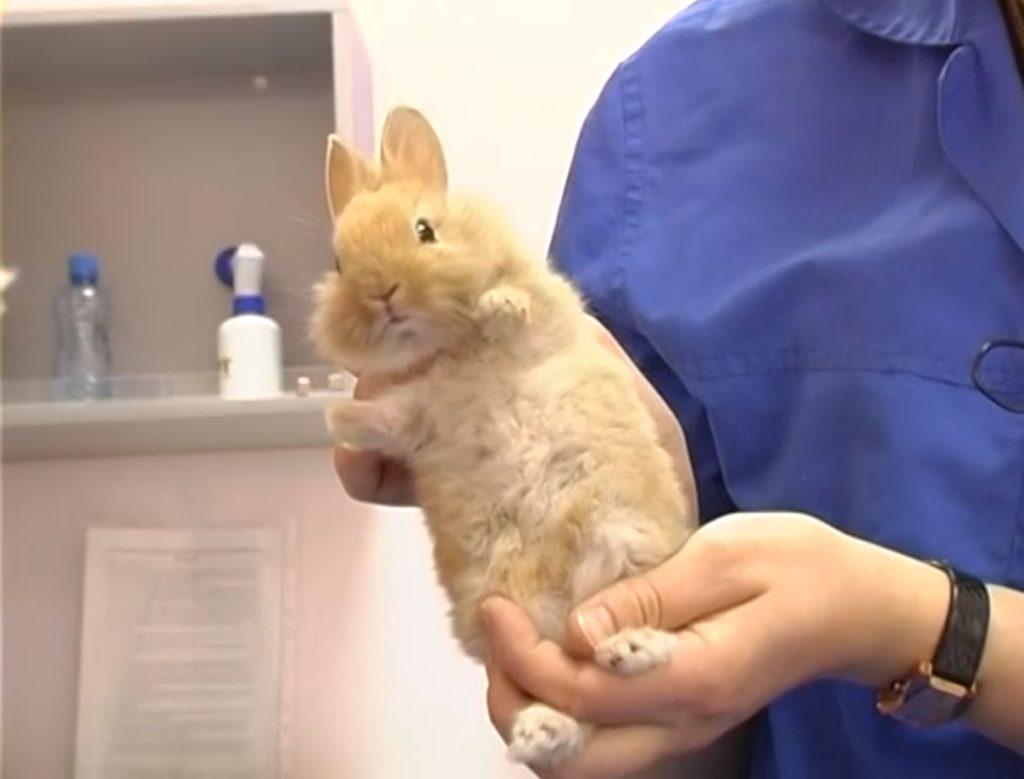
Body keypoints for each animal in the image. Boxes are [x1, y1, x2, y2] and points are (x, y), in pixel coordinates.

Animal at [309, 106, 696, 769]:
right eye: (339, 263)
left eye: (425, 230)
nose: (382, 294)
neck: (447, 349)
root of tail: (563, 611)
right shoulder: (423, 413)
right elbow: (393, 417)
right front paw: (341, 418)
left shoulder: (548, 322)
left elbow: (520, 315)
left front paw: (496, 305)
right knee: (576, 705)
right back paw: (539, 731)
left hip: (624, 550)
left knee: (634, 657)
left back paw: (628, 647)